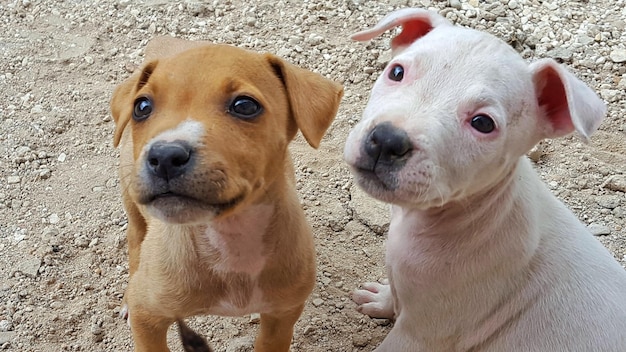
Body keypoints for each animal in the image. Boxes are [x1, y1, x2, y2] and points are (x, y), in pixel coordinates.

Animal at [108, 36, 342, 352]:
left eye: (244, 105)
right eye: (142, 107)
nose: (165, 156)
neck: (230, 238)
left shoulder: (281, 318)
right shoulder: (148, 318)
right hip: (132, 206)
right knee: (135, 240)